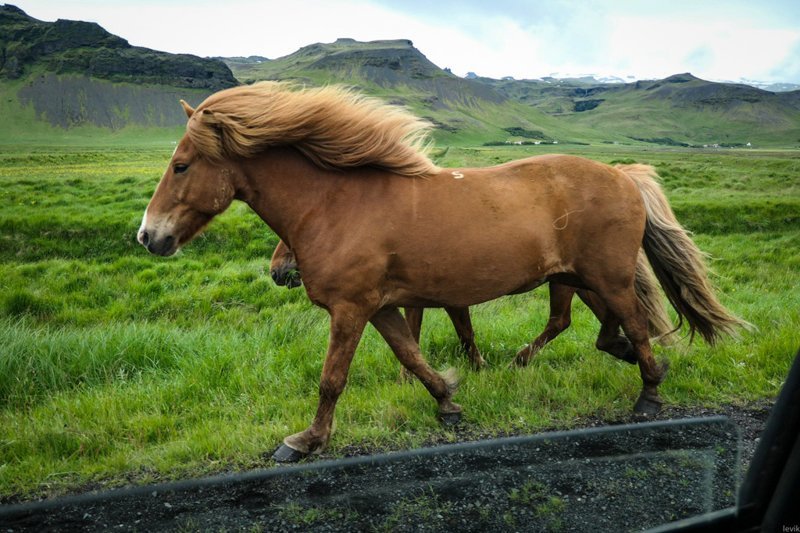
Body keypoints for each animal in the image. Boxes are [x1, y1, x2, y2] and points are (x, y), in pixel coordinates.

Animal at [270, 239, 676, 368]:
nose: (276, 272)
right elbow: (421, 333)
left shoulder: (447, 298)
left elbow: (461, 331)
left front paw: (476, 366)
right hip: (571, 279)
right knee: (593, 313)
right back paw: (621, 346)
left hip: (567, 281)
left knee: (564, 319)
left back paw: (521, 359)